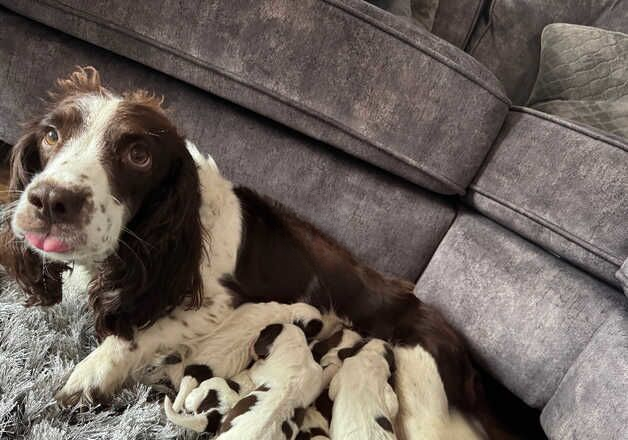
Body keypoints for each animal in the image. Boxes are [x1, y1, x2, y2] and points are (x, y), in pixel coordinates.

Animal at [0, 67, 508, 438]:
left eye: (138, 155)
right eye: (51, 135)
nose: (51, 201)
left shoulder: (218, 303)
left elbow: (138, 333)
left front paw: (87, 378)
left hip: (423, 394)